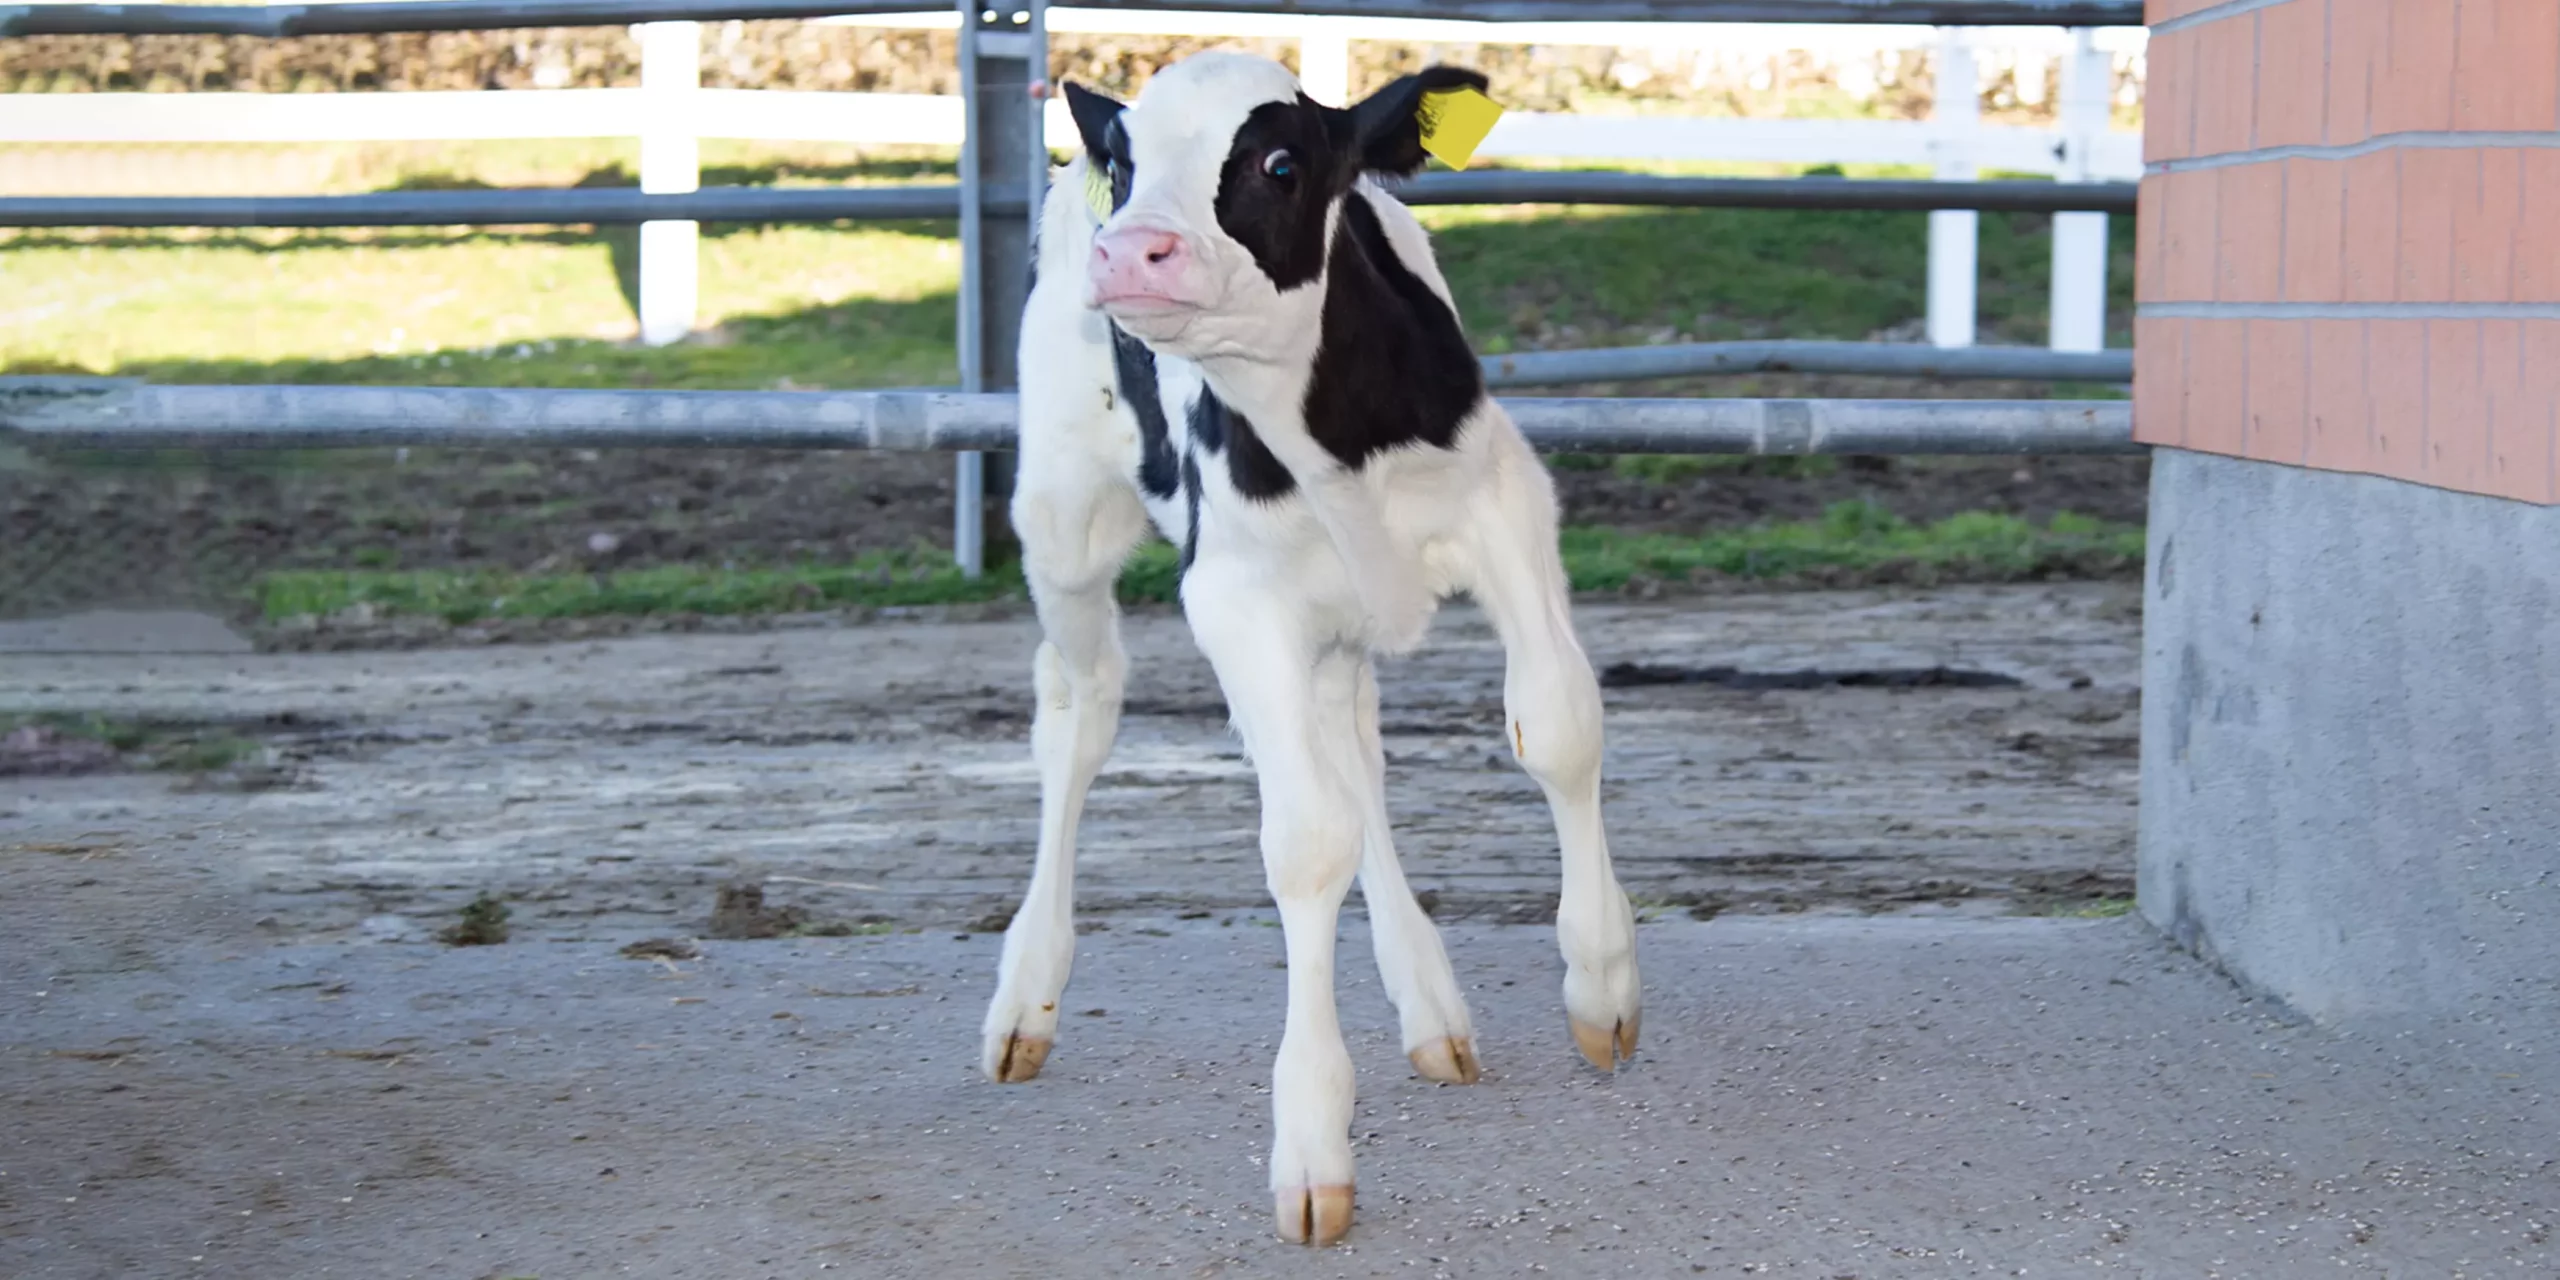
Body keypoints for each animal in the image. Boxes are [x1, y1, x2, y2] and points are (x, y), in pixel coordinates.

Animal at [977, 55, 1638, 1244]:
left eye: (1280, 164)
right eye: (1130, 165)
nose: (1128, 250)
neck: (1332, 429)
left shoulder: (1507, 503)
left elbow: (1559, 726)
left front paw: (1602, 984)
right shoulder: (1235, 594)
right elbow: (1305, 841)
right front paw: (1313, 1144)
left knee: (1352, 748)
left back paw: (1430, 1005)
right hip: (1061, 517)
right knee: (1081, 708)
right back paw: (1025, 998)